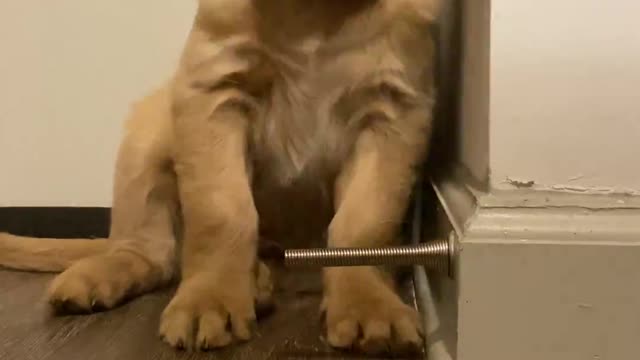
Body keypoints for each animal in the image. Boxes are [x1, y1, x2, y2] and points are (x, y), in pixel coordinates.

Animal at [0, 0, 440, 354]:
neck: (310, 14)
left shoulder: (394, 112)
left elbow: (364, 223)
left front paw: (370, 305)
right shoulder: (211, 92)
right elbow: (223, 212)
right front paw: (210, 299)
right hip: (148, 127)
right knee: (150, 254)